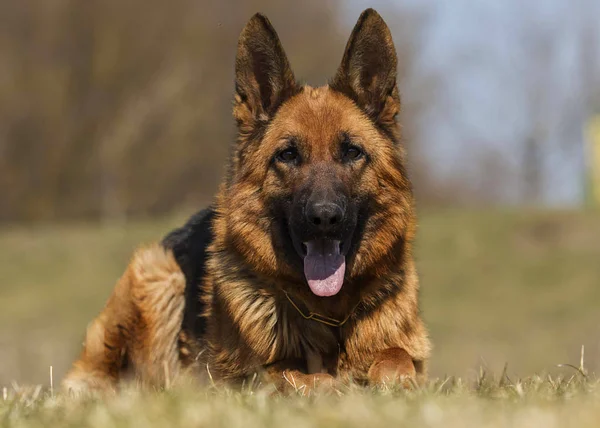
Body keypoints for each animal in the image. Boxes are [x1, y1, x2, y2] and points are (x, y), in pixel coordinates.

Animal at [63, 7, 428, 394]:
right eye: (288, 155)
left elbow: (396, 358)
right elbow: (295, 374)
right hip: (159, 274)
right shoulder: (245, 378)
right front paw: (333, 384)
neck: (329, 314)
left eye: (352, 152)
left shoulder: (408, 354)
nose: (325, 217)